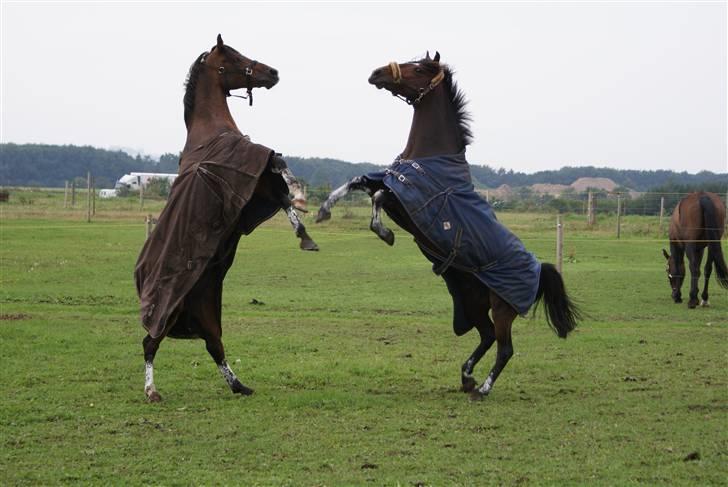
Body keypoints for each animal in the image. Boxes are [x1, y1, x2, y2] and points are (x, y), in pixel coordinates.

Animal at [135, 33, 318, 400]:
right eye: (232, 57)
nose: (272, 72)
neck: (212, 131)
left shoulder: (257, 187)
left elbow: (282, 193)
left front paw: (305, 235)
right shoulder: (248, 168)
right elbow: (280, 163)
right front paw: (303, 199)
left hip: (203, 307)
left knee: (213, 344)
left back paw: (239, 385)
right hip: (172, 308)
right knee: (151, 342)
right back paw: (152, 391)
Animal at [318, 52, 580, 400]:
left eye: (417, 67)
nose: (377, 73)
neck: (430, 158)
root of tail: (540, 269)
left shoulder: (404, 200)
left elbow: (375, 196)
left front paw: (385, 233)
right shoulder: (390, 184)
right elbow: (357, 181)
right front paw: (322, 211)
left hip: (502, 308)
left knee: (505, 348)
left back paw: (481, 389)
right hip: (474, 302)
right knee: (487, 337)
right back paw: (466, 376)